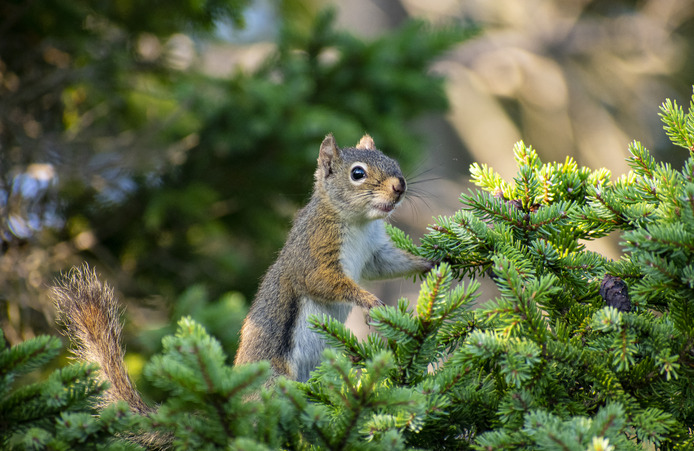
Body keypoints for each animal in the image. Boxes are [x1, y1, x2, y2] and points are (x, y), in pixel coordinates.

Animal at [51, 133, 432, 445]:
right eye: (357, 173)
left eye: (391, 160)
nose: (399, 186)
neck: (358, 222)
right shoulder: (313, 255)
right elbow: (326, 282)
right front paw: (370, 301)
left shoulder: (374, 254)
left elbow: (390, 264)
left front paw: (430, 264)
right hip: (275, 382)